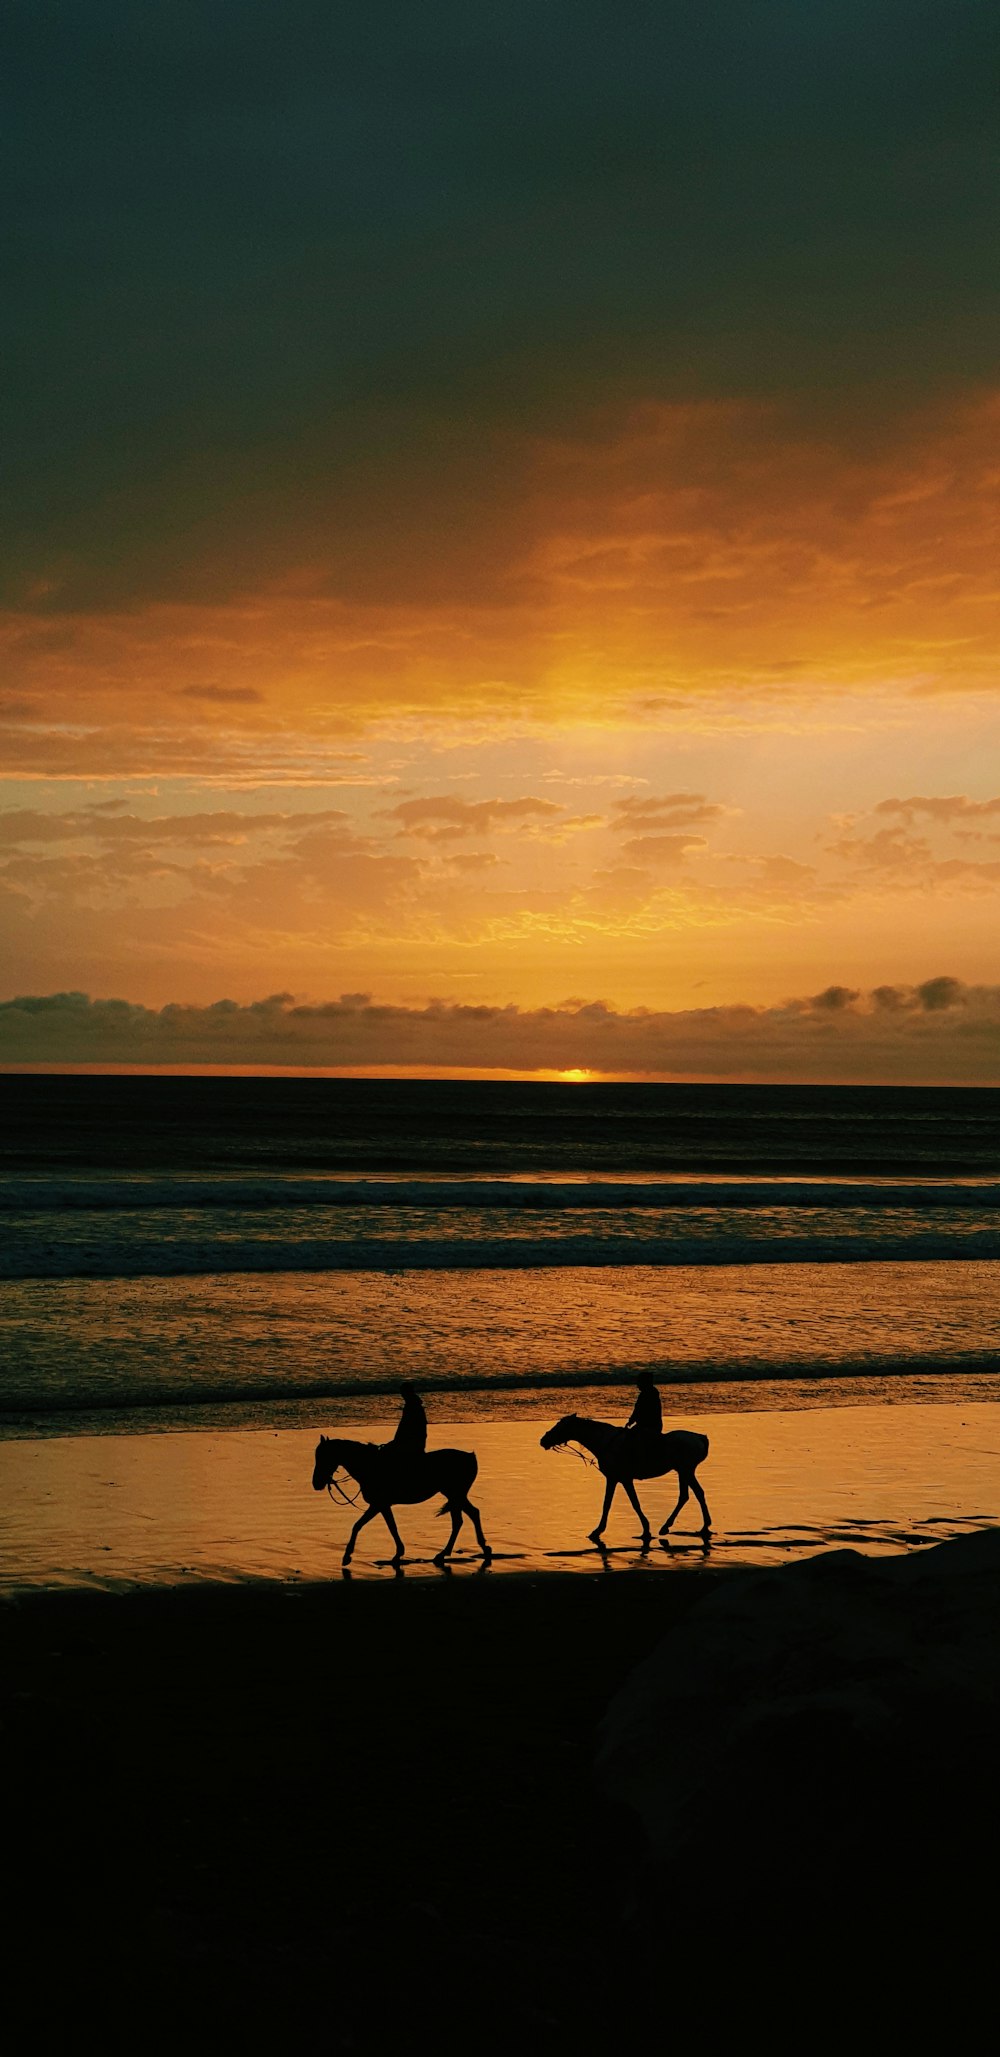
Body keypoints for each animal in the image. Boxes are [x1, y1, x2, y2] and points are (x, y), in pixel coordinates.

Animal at [308, 1439, 487, 1563]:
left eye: (324, 1457)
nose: (316, 1483)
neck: (370, 1466)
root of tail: (470, 1456)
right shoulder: (382, 1505)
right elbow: (389, 1526)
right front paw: (398, 1552)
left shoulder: (379, 1504)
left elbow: (361, 1525)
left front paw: (347, 1556)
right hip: (455, 1496)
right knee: (468, 1515)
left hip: (455, 1494)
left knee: (462, 1519)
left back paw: (449, 1552)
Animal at [539, 1415, 711, 1546]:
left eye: (560, 1426)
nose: (543, 1440)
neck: (605, 1442)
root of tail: (700, 1437)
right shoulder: (614, 1479)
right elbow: (607, 1504)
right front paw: (598, 1530)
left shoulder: (623, 1479)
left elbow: (633, 1503)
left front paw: (645, 1530)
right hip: (685, 1471)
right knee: (694, 1494)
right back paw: (700, 1526)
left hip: (685, 1470)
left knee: (689, 1495)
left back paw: (672, 1527)